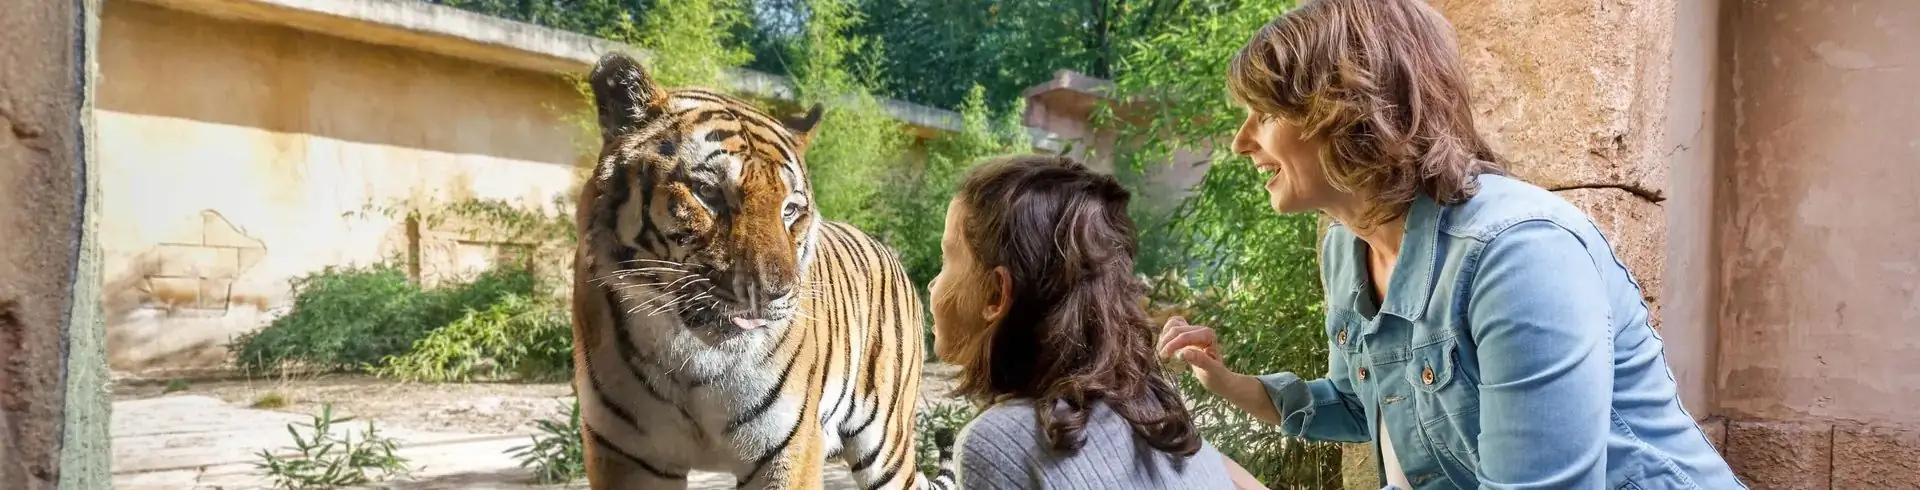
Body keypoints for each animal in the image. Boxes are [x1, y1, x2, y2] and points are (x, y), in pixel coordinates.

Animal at [571, 51, 952, 490]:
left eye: (790, 210)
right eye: (708, 193)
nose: (772, 293)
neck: (690, 364)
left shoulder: (789, 448)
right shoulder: (630, 456)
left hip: (886, 443)